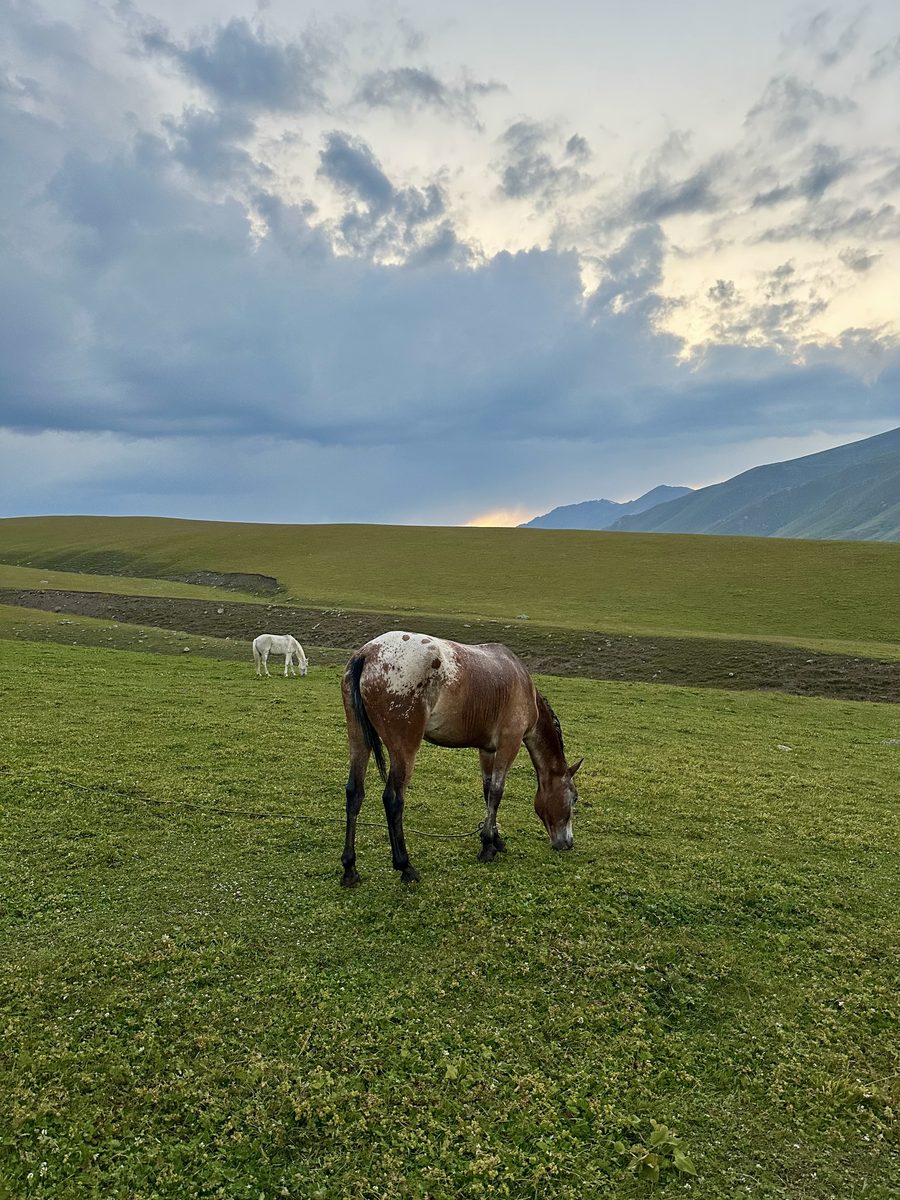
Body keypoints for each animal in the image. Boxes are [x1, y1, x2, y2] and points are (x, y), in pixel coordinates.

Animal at [340, 630, 582, 887]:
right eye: (574, 798)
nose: (568, 843)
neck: (524, 688)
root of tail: (367, 654)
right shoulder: (510, 744)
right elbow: (497, 792)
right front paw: (487, 846)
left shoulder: (487, 750)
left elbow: (488, 793)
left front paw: (495, 839)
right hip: (404, 749)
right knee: (393, 800)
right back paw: (405, 866)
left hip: (358, 738)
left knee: (355, 793)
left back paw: (350, 869)